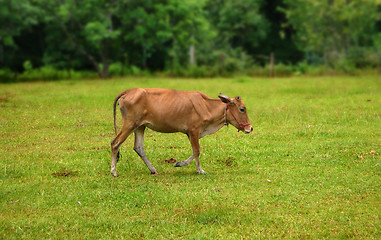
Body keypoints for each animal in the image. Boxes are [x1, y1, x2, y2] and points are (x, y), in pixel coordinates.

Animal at [110, 88, 252, 176]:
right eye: (242, 109)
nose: (250, 128)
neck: (206, 106)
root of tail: (128, 91)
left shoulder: (190, 133)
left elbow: (195, 151)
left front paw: (191, 167)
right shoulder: (194, 130)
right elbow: (197, 151)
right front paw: (197, 169)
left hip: (140, 126)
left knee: (138, 147)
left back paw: (153, 170)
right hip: (129, 124)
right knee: (115, 143)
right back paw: (114, 172)